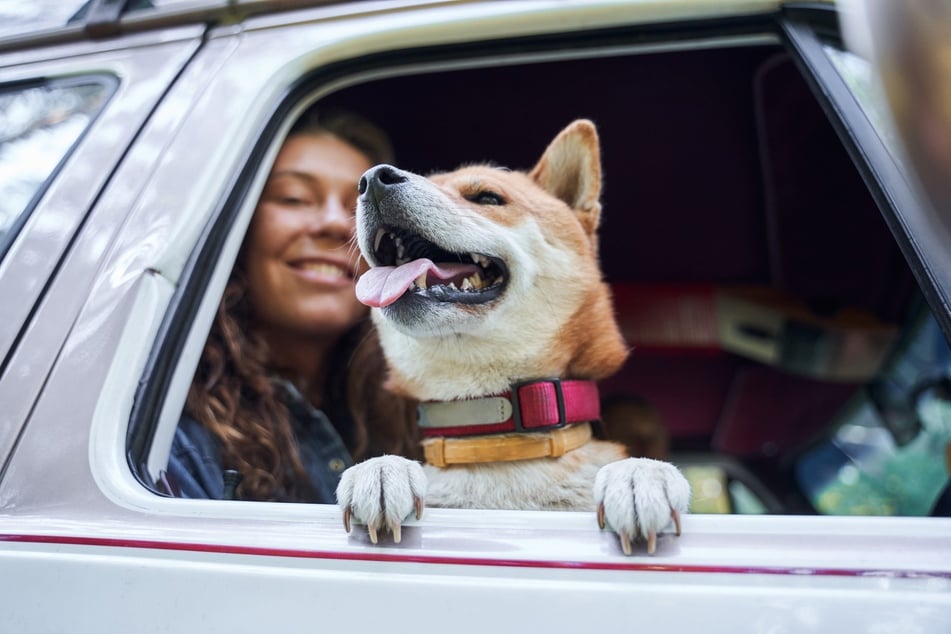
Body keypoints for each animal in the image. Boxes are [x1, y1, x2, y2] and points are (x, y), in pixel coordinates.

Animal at [338, 118, 688, 552]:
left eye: (487, 197)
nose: (372, 179)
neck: (492, 437)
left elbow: (635, 467)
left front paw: (640, 475)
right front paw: (381, 470)